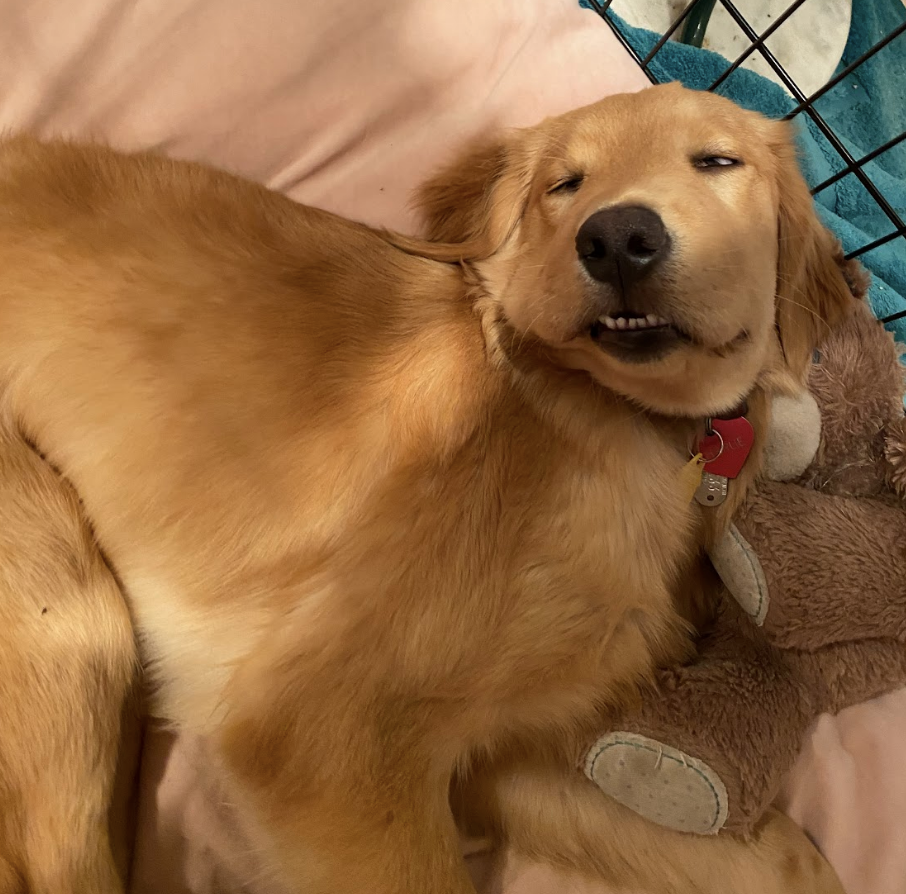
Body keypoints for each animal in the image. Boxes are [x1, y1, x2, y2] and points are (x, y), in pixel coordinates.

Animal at [0, 80, 852, 892]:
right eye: (564, 183)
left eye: (717, 162)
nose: (618, 242)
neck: (626, 423)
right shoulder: (323, 737)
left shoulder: (510, 749)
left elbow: (789, 861)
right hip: (72, 609)